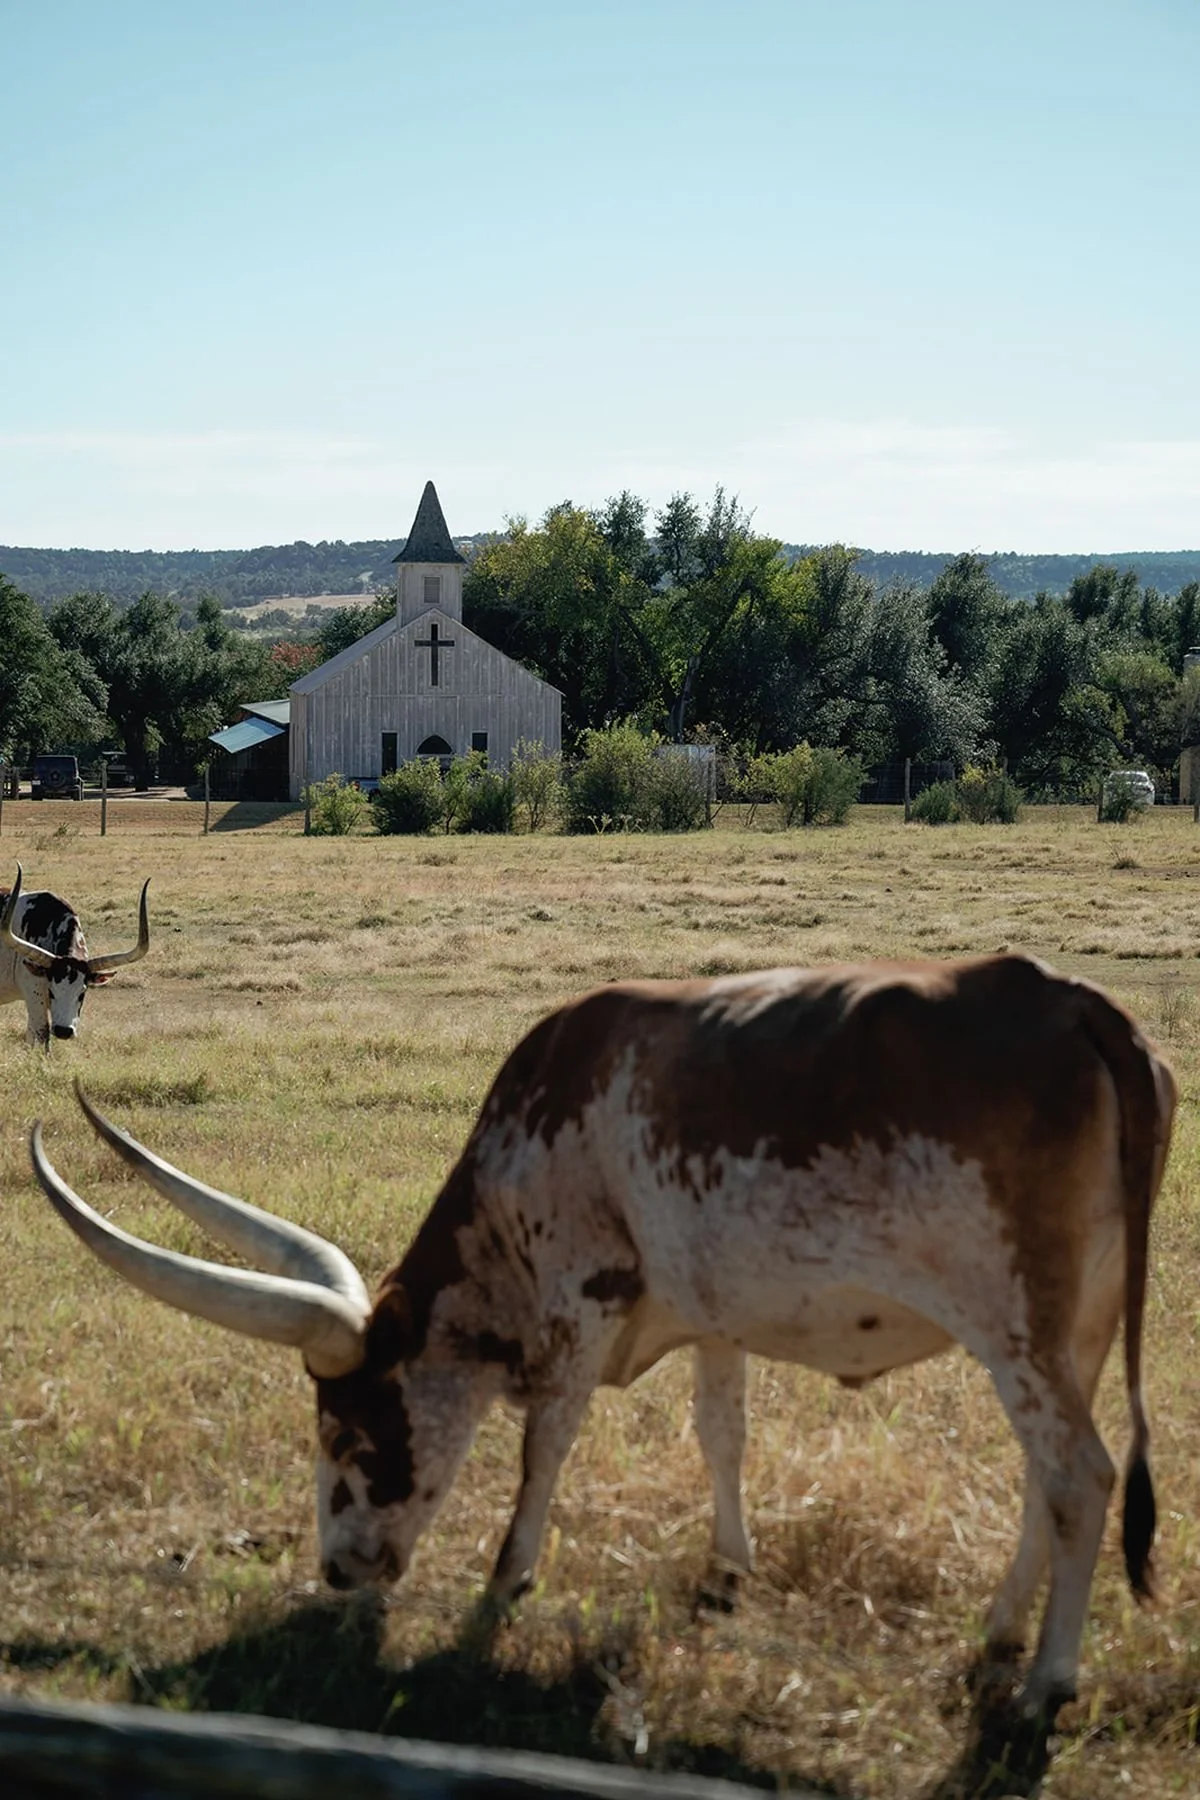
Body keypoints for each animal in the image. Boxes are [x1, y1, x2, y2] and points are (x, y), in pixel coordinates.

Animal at [30, 952, 1175, 1720]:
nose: (341, 1572)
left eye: (347, 1434)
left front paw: (505, 1582)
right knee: (1046, 1482)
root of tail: (1079, 1006)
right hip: (1070, 1333)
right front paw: (727, 1568)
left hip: (1016, 1327)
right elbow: (722, 1431)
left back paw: (1045, 1679)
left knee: (1081, 1476)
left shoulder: (582, 1299)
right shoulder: (713, 1310)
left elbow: (546, 1446)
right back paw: (999, 1630)